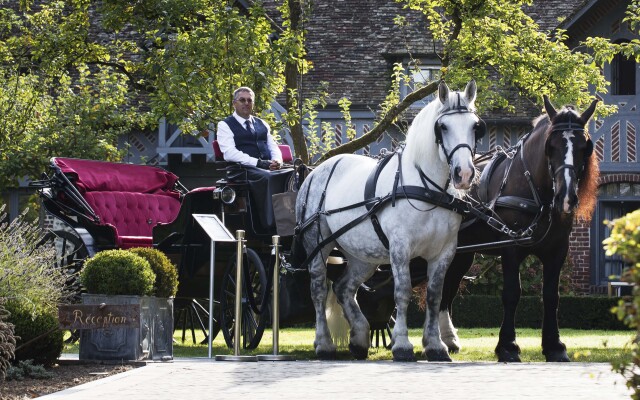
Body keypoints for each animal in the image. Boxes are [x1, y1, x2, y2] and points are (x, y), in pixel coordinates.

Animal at [298, 81, 482, 362]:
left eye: (475, 126)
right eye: (443, 127)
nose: (464, 174)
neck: (426, 189)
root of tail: (315, 171)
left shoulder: (444, 253)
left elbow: (434, 296)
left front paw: (435, 345)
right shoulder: (400, 249)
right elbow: (402, 292)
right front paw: (403, 345)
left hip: (363, 257)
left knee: (343, 288)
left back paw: (359, 338)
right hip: (317, 245)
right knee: (318, 290)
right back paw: (324, 344)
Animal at [438, 97, 596, 362]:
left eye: (584, 147)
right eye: (551, 146)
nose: (566, 198)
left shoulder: (557, 250)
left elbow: (551, 296)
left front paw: (554, 346)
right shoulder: (511, 248)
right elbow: (512, 293)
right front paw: (508, 346)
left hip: (462, 253)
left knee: (447, 286)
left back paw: (447, 339)